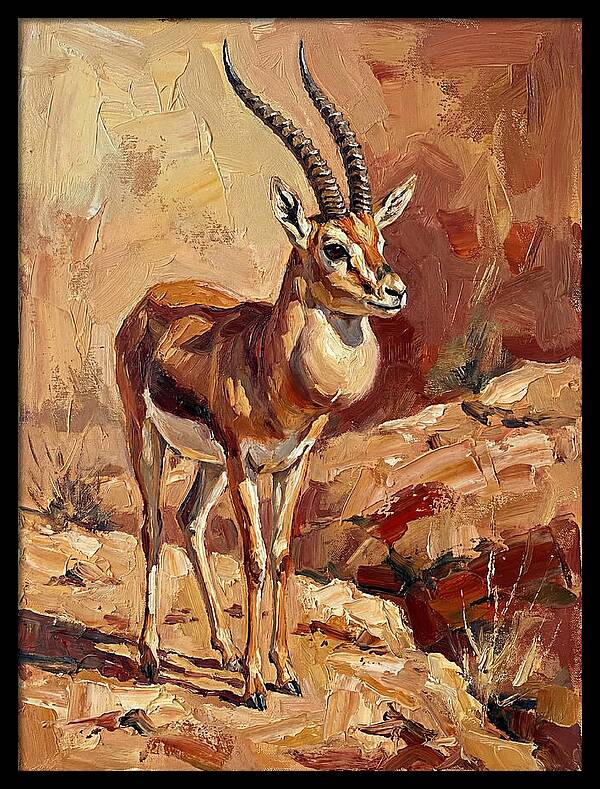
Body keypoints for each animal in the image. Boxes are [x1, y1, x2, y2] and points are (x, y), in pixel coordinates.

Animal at [115, 39, 416, 710]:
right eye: (333, 246)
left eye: (379, 237)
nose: (393, 291)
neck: (272, 373)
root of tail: (147, 299)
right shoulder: (245, 462)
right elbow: (252, 557)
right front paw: (255, 684)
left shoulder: (291, 463)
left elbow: (280, 555)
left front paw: (285, 670)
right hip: (149, 439)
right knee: (152, 525)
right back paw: (152, 657)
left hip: (205, 464)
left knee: (190, 522)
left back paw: (224, 650)